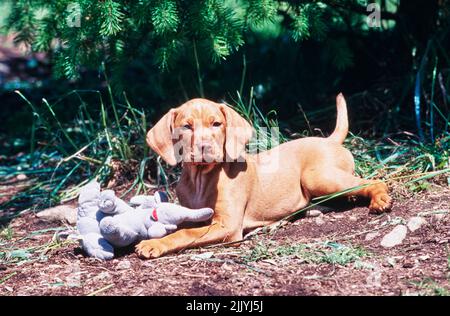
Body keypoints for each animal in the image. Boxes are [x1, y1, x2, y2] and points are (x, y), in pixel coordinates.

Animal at [135, 92, 392, 258]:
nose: (205, 147)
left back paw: (379, 199)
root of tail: (330, 140)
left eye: (216, 124)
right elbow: (182, 226)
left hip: (317, 177)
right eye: (187, 127)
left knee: (372, 180)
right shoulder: (193, 213)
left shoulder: (227, 226)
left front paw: (154, 244)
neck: (201, 178)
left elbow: (186, 233)